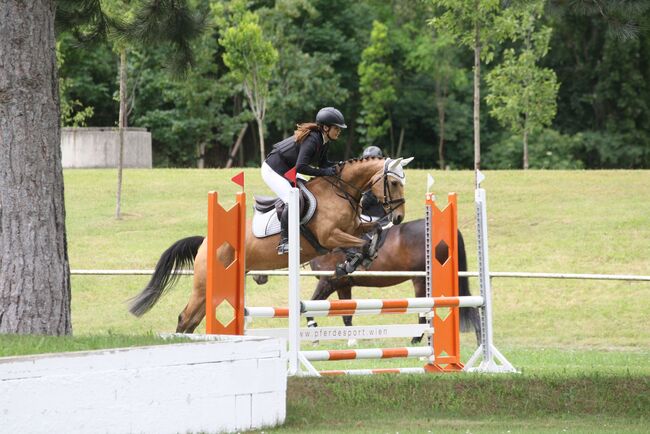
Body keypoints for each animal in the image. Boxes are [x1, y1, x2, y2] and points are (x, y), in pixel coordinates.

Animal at [129, 156, 412, 332]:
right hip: (203, 284)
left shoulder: (352, 228)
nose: (398, 217)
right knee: (186, 317)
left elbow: (373, 231)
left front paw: (361, 257)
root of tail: (206, 241)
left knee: (194, 319)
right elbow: (359, 243)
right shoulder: (329, 236)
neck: (339, 192)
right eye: (394, 182)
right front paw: (350, 263)